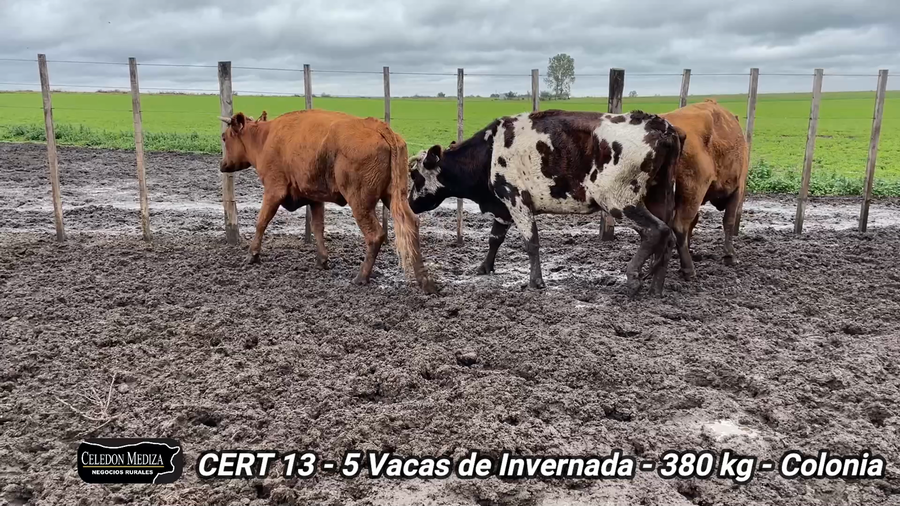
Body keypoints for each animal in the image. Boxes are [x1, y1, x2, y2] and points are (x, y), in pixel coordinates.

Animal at [218, 109, 437, 294]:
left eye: (224, 138)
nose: (222, 165)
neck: (264, 138)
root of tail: (379, 127)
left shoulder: (273, 191)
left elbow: (261, 222)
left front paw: (252, 255)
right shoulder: (315, 198)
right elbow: (318, 227)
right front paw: (322, 259)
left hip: (360, 202)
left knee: (375, 235)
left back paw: (361, 277)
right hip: (394, 196)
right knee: (411, 225)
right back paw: (425, 282)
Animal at [408, 109, 685, 296]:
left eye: (415, 175)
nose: (409, 203)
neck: (489, 152)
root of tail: (659, 126)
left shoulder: (516, 199)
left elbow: (531, 243)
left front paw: (535, 281)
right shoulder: (503, 207)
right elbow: (495, 238)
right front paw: (484, 267)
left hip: (618, 200)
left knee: (656, 231)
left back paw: (634, 277)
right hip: (658, 196)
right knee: (668, 236)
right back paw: (656, 289)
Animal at [660, 99, 749, 279]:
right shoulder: (737, 189)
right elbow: (729, 221)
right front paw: (730, 255)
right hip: (694, 191)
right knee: (679, 225)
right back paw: (688, 269)